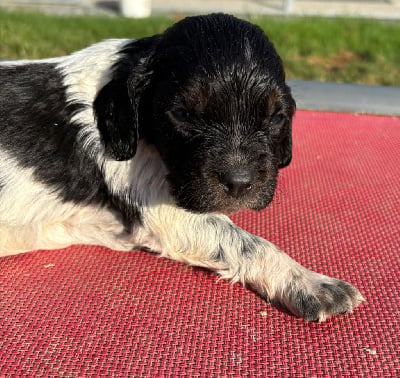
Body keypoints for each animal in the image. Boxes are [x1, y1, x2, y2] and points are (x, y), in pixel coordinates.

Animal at [0, 14, 362, 322]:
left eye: (276, 117)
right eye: (183, 114)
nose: (240, 183)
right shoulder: (164, 210)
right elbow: (242, 239)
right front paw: (311, 283)